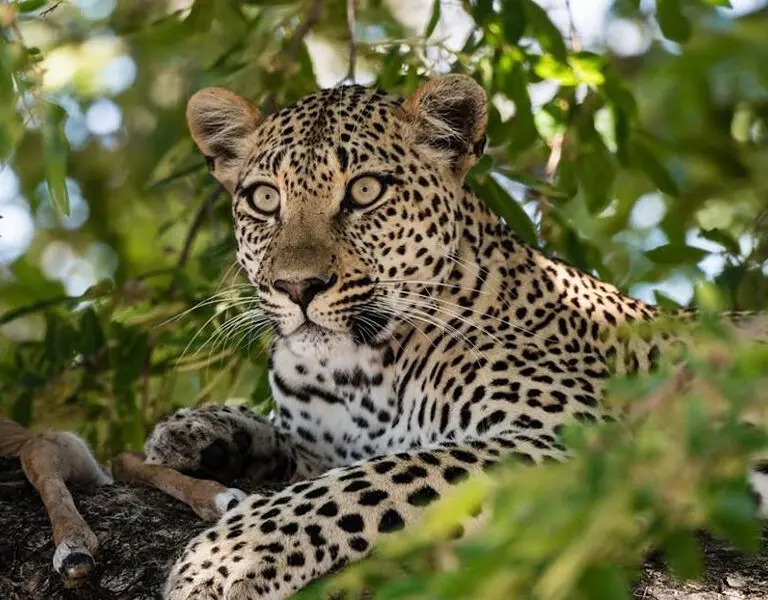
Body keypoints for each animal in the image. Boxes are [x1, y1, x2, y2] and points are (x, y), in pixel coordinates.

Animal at [144, 74, 768, 600]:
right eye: (265, 199)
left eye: (365, 191)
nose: (297, 286)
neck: (353, 371)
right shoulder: (320, 443)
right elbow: (287, 441)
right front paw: (194, 429)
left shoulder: (576, 434)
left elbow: (363, 482)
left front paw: (225, 559)